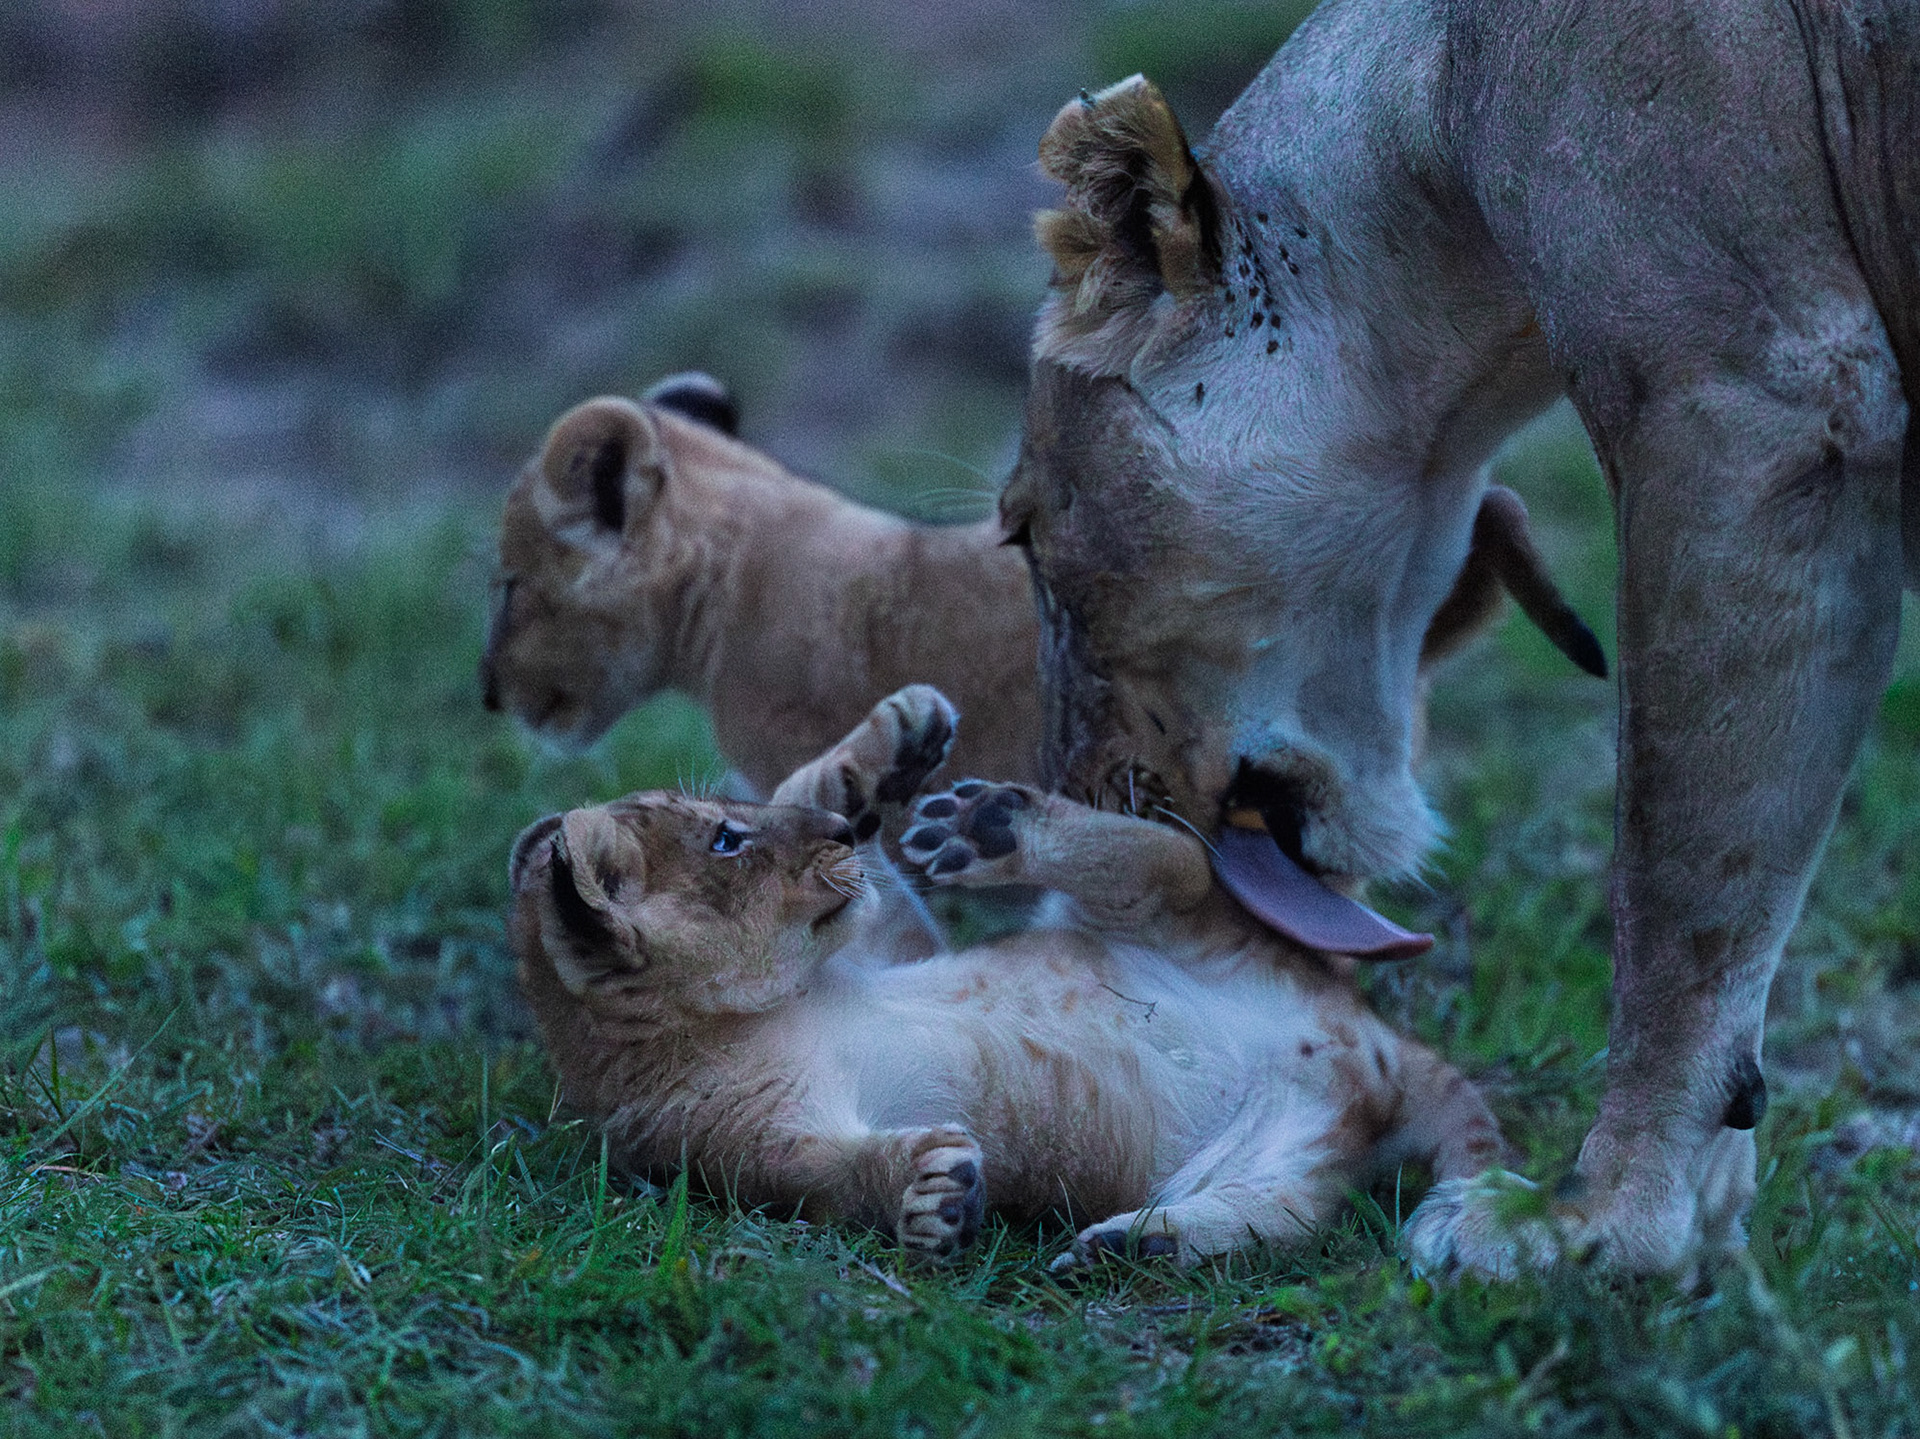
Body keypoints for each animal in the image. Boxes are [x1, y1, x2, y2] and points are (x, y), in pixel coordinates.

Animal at [507, 685, 1507, 1265]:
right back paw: (1136, 1246)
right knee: (1282, 1219)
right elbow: (825, 1178)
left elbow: (810, 789)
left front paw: (895, 737)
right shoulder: (730, 1151)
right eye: (725, 840)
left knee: (1174, 862)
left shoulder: (888, 951)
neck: (757, 1013)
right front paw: (929, 1194)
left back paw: (988, 826)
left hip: (1168, 927)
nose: (842, 839)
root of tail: (1358, 1035)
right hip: (1281, 1156)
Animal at [1002, 3, 1919, 1276]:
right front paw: (1706, 1199)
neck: (1436, 95)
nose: (1069, 788)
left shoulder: (1752, 407)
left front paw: (1603, 1220)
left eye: (1026, 532)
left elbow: (1685, 878)